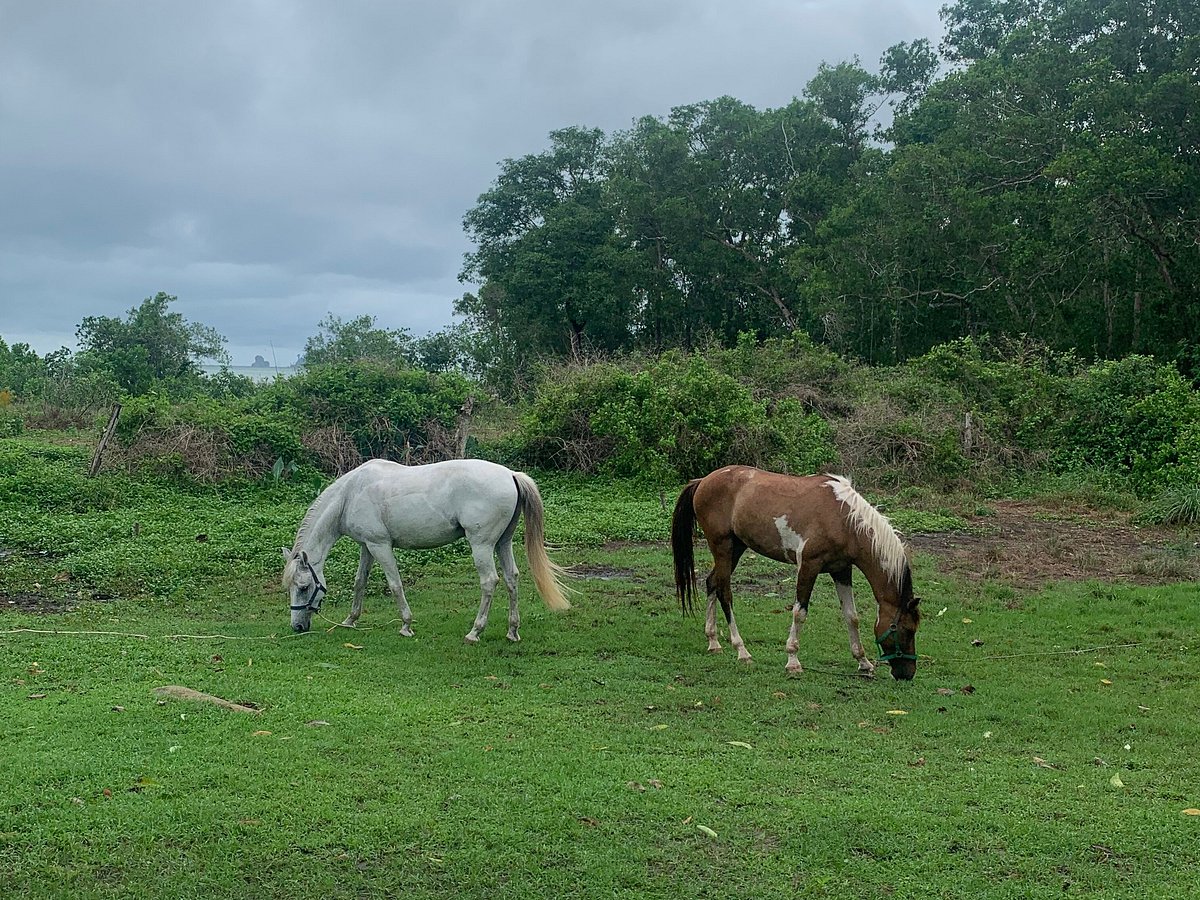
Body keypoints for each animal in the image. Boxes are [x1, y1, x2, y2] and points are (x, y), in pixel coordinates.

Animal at [288, 460, 573, 643]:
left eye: (303, 587)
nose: (298, 626)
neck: (350, 494)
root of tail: (511, 475)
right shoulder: (367, 546)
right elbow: (360, 582)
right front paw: (351, 620)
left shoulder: (381, 546)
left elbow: (395, 585)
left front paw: (406, 625)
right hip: (504, 543)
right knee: (512, 579)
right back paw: (512, 631)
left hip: (481, 545)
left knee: (490, 581)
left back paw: (475, 632)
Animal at [676, 468, 916, 681]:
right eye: (907, 630)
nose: (907, 674)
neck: (844, 519)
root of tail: (703, 481)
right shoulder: (809, 566)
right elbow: (799, 612)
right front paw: (793, 661)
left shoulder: (841, 570)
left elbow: (852, 616)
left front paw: (863, 662)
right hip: (722, 547)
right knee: (724, 592)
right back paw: (741, 650)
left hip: (736, 547)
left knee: (712, 583)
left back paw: (713, 642)